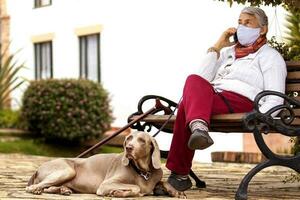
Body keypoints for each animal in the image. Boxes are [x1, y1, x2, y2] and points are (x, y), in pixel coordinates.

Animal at [25, 130, 163, 198]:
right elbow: (136, 187)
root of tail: (38, 168)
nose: (128, 148)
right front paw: (117, 193)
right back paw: (36, 190)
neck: (142, 172)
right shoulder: (105, 184)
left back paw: (63, 190)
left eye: (142, 140)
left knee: (48, 188)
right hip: (68, 170)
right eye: (129, 138)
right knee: (33, 187)